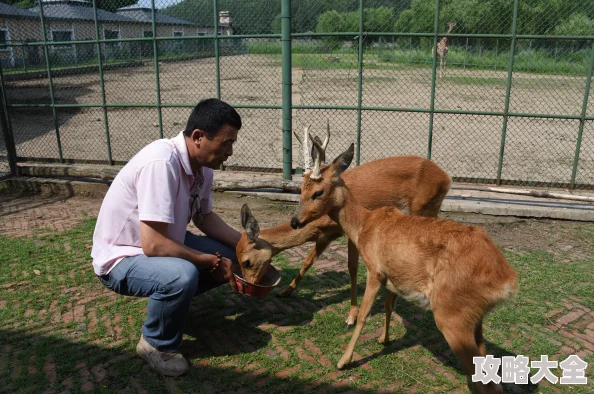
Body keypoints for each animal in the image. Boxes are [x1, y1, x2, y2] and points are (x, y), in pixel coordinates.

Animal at [235, 122, 448, 326]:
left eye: (247, 261)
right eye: (300, 188)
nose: (247, 287)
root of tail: (446, 177)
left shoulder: (349, 234)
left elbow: (352, 268)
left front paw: (351, 316)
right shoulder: (325, 236)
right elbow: (308, 260)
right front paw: (286, 291)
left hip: (424, 207)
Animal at [290, 139, 516, 394]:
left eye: (317, 192)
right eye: (301, 189)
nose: (295, 221)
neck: (363, 225)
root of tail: (507, 280)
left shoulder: (375, 270)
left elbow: (364, 315)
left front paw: (343, 360)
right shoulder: (393, 276)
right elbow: (389, 305)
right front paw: (384, 339)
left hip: (452, 315)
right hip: (475, 319)